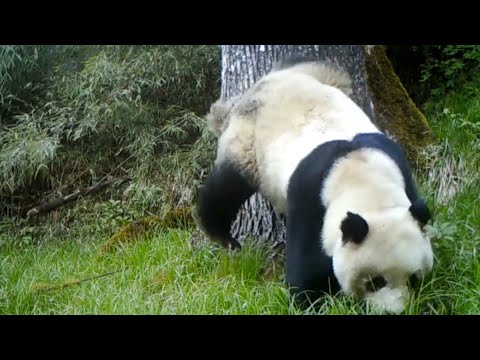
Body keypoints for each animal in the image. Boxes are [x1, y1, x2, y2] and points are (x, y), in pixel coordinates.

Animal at [195, 54, 436, 314]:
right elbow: (307, 265)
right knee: (225, 188)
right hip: (248, 141)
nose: (396, 311)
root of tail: (261, 85)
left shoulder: (401, 170)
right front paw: (314, 302)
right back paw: (223, 236)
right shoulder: (310, 194)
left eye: (413, 278)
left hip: (324, 75)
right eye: (375, 282)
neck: (364, 179)